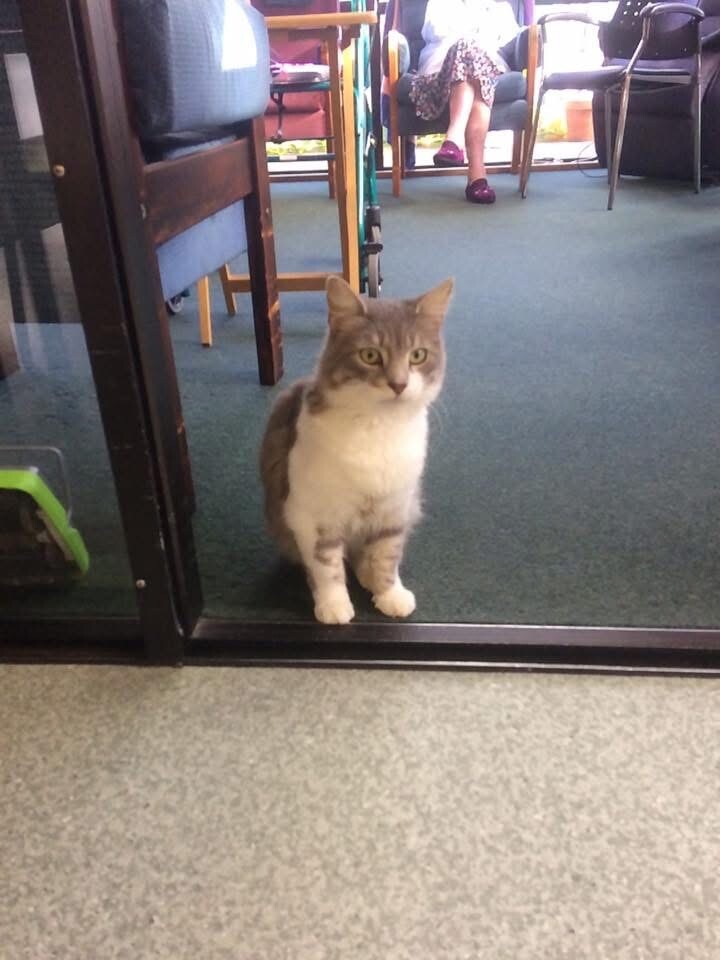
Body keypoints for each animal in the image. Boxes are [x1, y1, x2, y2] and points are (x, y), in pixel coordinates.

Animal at [260, 274, 453, 625]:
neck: (378, 429)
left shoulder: (395, 510)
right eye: (370, 355)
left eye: (417, 355)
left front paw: (389, 594)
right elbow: (326, 566)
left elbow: (387, 557)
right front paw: (334, 604)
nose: (399, 384)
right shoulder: (312, 515)